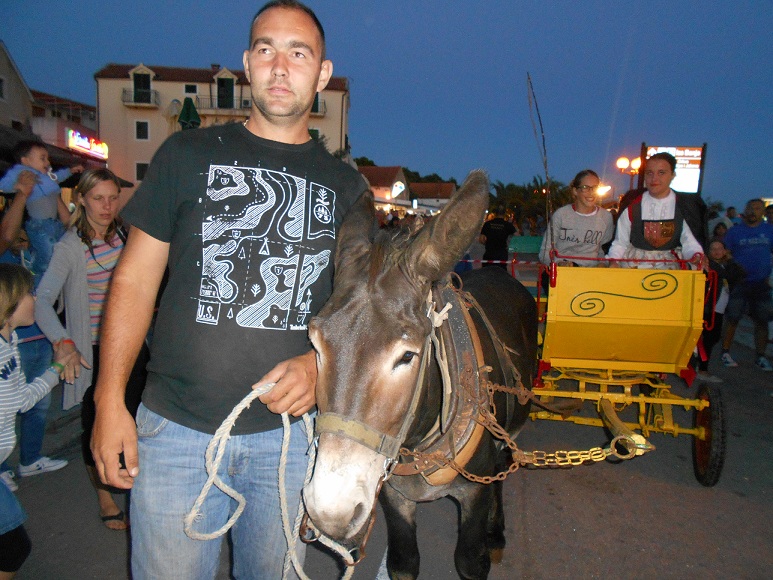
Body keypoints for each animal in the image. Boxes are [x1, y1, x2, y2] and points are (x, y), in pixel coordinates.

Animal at [302, 170, 537, 579]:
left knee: (503, 468)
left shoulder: (474, 495)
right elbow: (403, 562)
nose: (331, 513)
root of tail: (501, 273)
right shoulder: (393, 496)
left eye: (407, 356)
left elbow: (470, 561)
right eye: (316, 344)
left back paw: (497, 532)